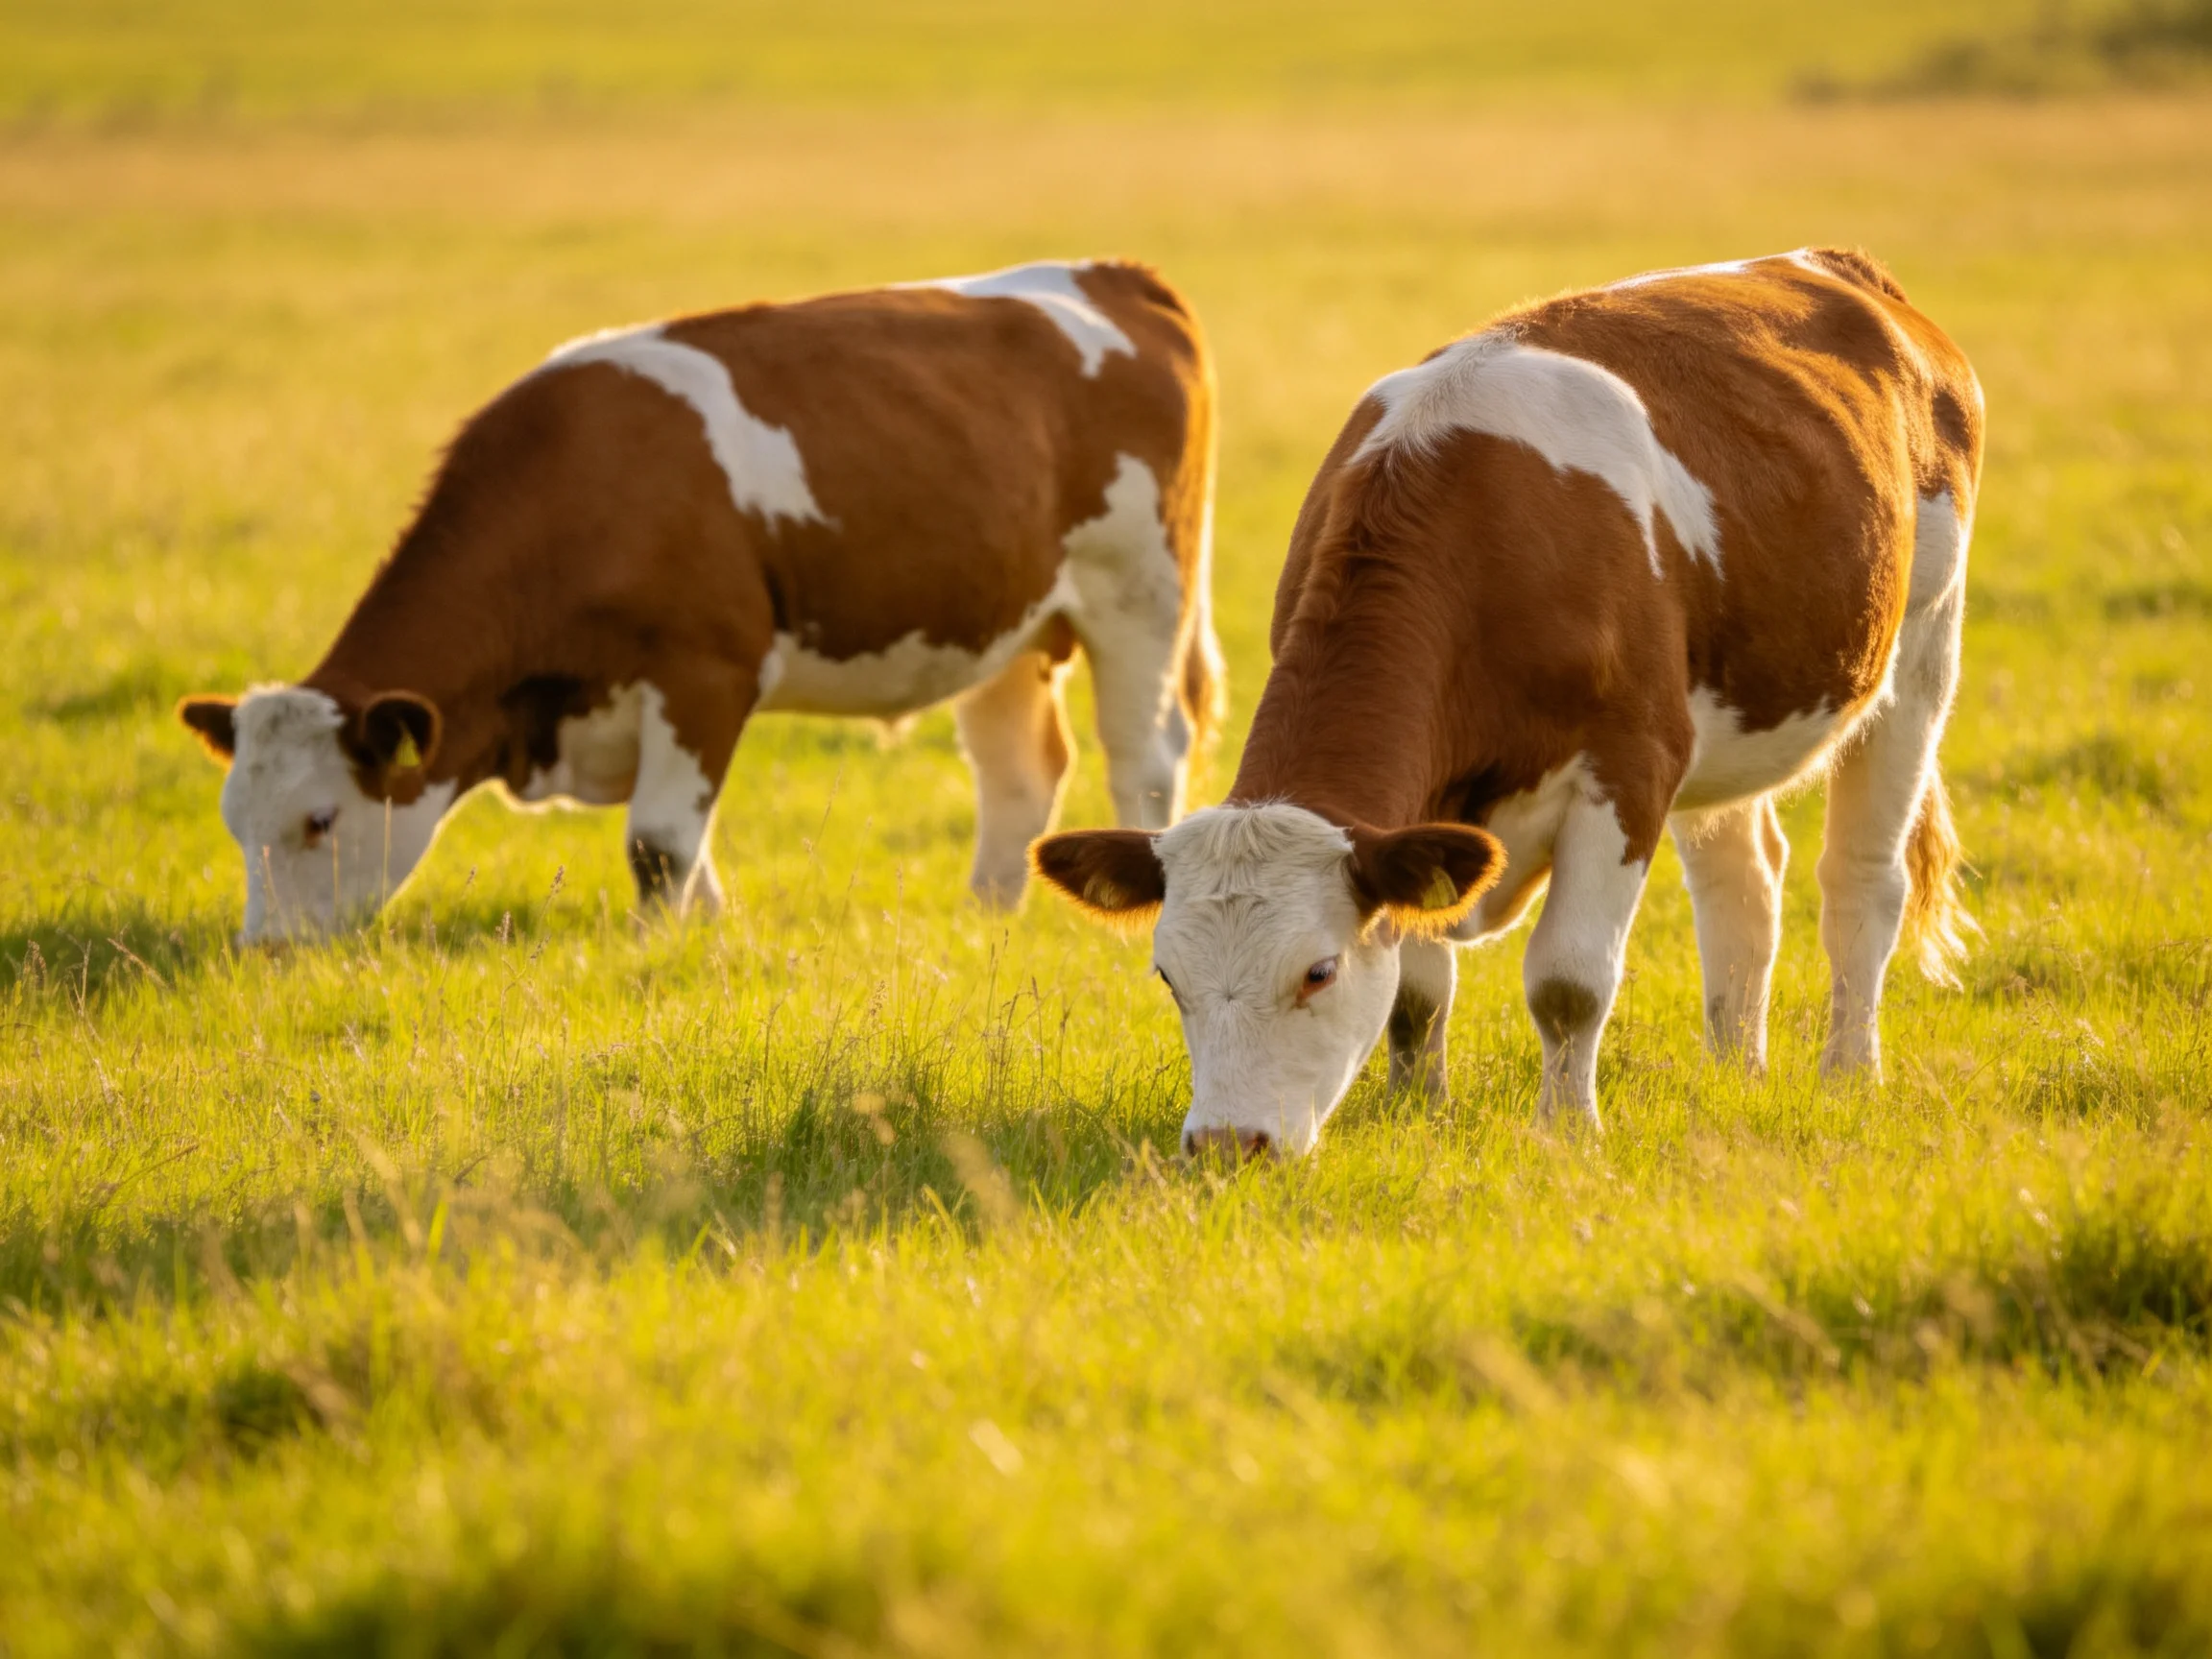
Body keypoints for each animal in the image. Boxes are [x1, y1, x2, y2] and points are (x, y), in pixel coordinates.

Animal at [177, 260, 1222, 942]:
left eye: (318, 820)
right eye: (233, 821)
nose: (266, 951)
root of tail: (1115, 275)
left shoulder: (705, 671)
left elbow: (661, 842)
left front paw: (653, 951)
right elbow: (683, 843)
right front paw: (701, 936)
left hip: (1139, 596)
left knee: (1143, 758)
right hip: (1006, 625)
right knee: (1017, 771)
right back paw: (987, 913)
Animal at [1035, 248, 1982, 1158]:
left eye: (1318, 971)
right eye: (1169, 977)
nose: (1229, 1145)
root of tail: (1840, 268)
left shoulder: (1631, 764)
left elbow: (1569, 981)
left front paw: (1568, 1129)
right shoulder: (1423, 814)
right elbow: (1416, 993)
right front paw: (1419, 1112)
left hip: (1922, 649)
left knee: (1861, 880)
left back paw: (1848, 1074)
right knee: (1742, 882)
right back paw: (1733, 1070)